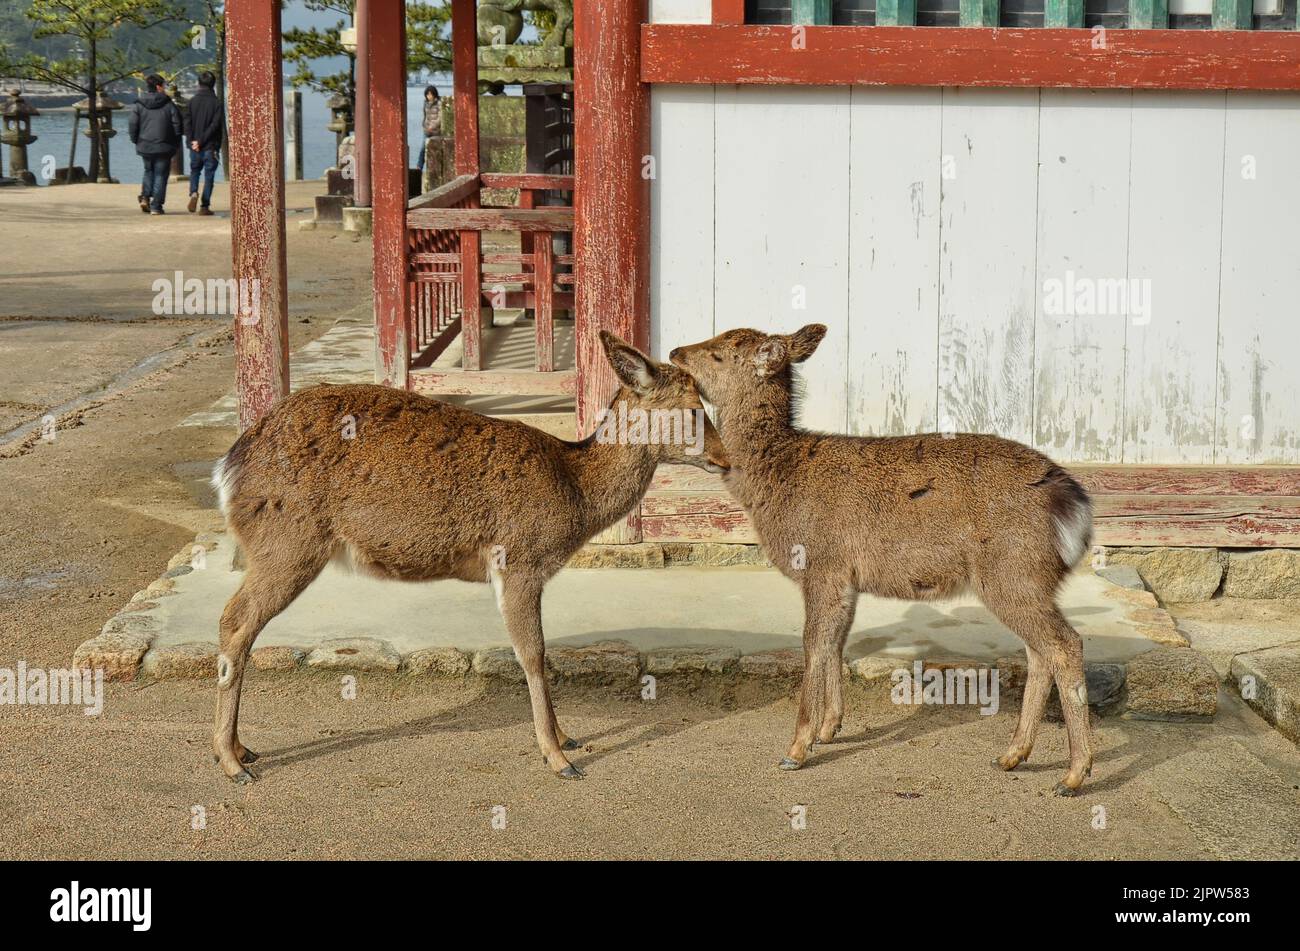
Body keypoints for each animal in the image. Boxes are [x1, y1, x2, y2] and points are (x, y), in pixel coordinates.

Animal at [208, 329, 728, 784]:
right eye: (693, 409)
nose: (726, 458)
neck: (575, 492)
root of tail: (228, 468)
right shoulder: (518, 560)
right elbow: (533, 653)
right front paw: (559, 758)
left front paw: (567, 737)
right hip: (287, 543)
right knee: (235, 620)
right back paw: (231, 762)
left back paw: (240, 750)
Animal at [670, 327, 1097, 795]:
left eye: (718, 352)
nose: (675, 352)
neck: (775, 481)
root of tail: (1075, 507)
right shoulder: (846, 578)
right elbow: (836, 642)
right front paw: (830, 728)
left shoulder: (822, 564)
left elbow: (812, 643)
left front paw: (796, 748)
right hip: (1027, 580)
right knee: (1039, 651)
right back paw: (1012, 755)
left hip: (1011, 571)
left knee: (1064, 644)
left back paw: (1074, 774)